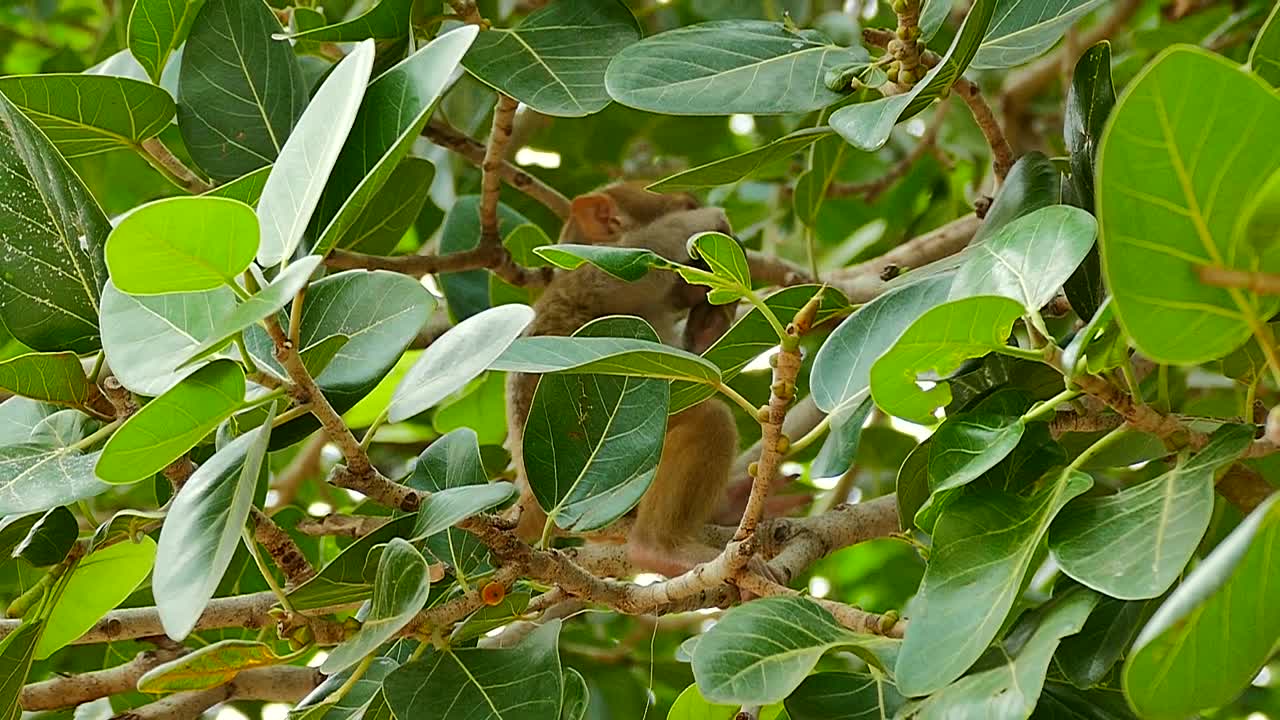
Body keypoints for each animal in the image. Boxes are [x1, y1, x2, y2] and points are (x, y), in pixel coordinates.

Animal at [505, 182, 741, 577]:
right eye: (685, 204)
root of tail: (534, 497)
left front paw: (712, 319)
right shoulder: (593, 269)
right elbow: (638, 263)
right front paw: (706, 219)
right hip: (604, 490)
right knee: (711, 418)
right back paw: (657, 547)